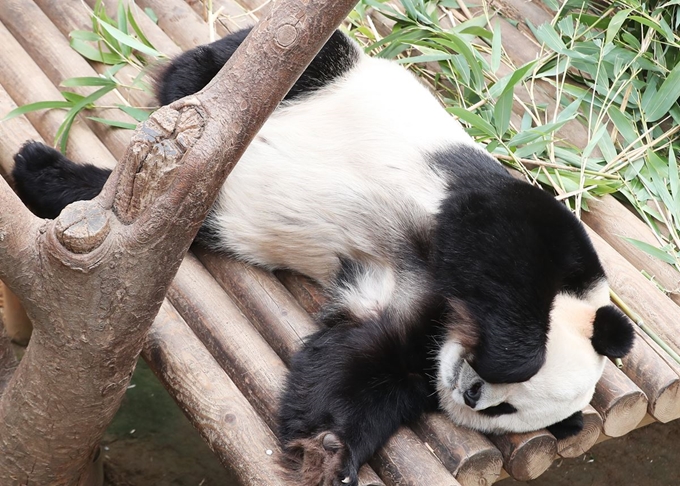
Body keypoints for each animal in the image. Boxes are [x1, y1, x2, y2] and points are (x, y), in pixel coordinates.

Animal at [11, 26, 636, 486]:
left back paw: (50, 178)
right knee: (245, 68)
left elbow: (357, 362)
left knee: (162, 214)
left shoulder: (412, 332)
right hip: (317, 81)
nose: (471, 391)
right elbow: (503, 237)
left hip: (197, 209)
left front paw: (329, 451)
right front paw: (513, 354)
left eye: (502, 413)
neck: (453, 320)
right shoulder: (504, 215)